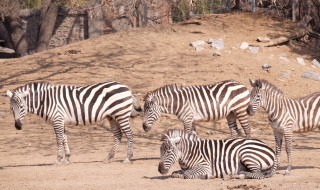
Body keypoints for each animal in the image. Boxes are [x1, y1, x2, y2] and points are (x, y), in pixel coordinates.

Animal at [5, 81, 141, 164]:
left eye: (21, 107)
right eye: (11, 109)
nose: (17, 126)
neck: (46, 101)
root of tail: (126, 88)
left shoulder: (57, 119)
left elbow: (59, 139)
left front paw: (58, 159)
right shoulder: (60, 121)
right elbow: (64, 138)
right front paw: (67, 158)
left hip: (121, 114)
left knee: (129, 134)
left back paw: (128, 158)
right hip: (112, 116)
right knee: (118, 135)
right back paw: (108, 157)